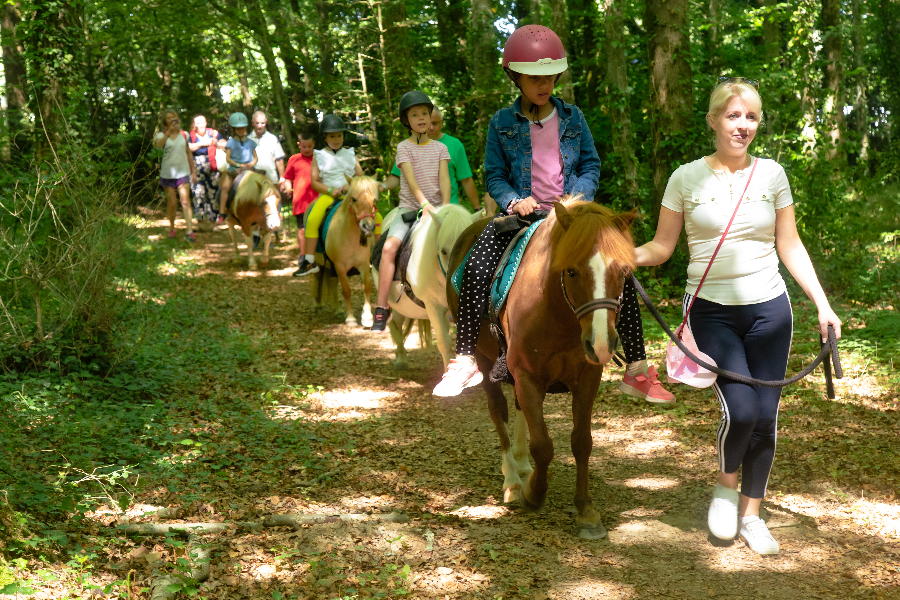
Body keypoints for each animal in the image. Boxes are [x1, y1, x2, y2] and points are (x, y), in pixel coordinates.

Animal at [314, 176, 378, 328]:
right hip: (320, 263)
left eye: (375, 200)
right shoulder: (340, 266)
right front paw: (350, 319)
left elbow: (367, 286)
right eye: (354, 199)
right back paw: (318, 304)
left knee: (331, 283)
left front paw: (367, 316)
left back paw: (337, 310)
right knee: (318, 279)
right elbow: (346, 291)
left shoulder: (363, 264)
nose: (368, 227)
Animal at [446, 197, 636, 540]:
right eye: (571, 271)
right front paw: (533, 494)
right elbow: (544, 446)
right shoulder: (527, 376)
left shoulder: (587, 379)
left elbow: (582, 442)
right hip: (483, 357)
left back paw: (522, 467)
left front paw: (586, 511)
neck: (558, 314)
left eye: (623, 271)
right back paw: (512, 480)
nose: (602, 344)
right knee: (499, 411)